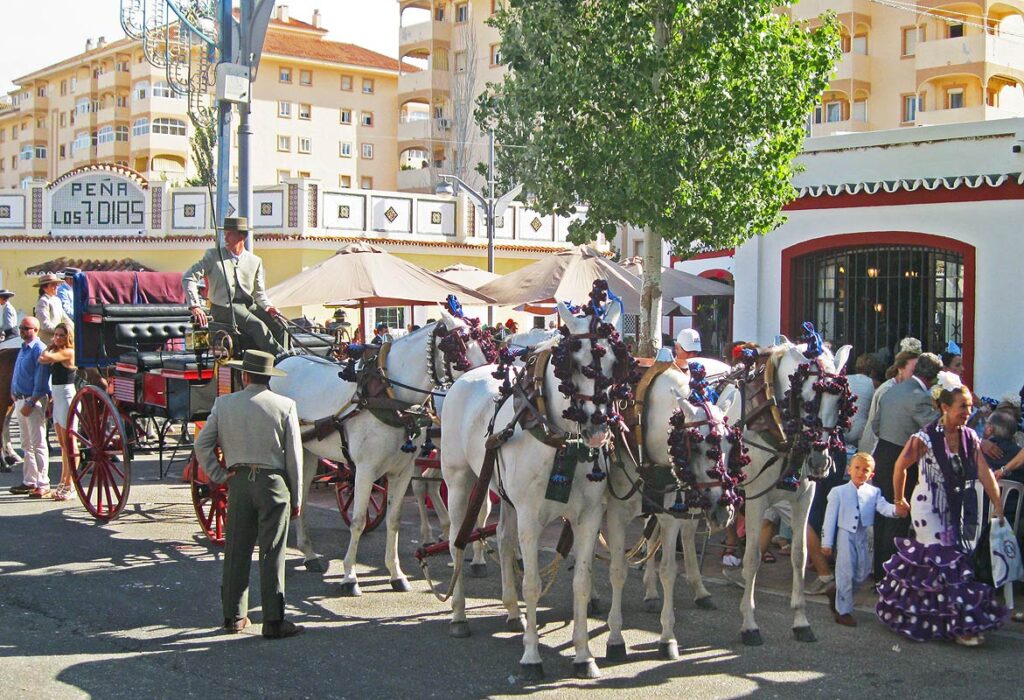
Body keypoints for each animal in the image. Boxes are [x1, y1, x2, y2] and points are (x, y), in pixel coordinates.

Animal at [272, 311, 495, 597]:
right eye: (459, 347)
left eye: (487, 345)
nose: (485, 382)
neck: (388, 395)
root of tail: (286, 358)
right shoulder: (366, 470)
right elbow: (357, 520)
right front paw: (350, 577)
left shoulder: (401, 471)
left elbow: (394, 520)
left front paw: (396, 574)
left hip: (309, 452)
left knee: (301, 494)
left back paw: (309, 554)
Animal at [442, 300, 622, 679]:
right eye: (573, 363)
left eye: (616, 362)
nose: (598, 427)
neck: (562, 442)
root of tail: (471, 374)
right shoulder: (531, 517)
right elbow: (533, 584)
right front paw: (531, 657)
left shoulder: (588, 517)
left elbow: (581, 583)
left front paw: (584, 656)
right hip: (460, 480)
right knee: (457, 541)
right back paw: (459, 615)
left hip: (505, 495)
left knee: (504, 540)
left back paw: (512, 612)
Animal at [602, 368, 741, 663]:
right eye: (696, 446)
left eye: (729, 443)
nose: (723, 510)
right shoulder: (617, 514)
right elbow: (617, 571)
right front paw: (615, 638)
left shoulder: (670, 513)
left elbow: (668, 570)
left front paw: (667, 638)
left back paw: (655, 593)